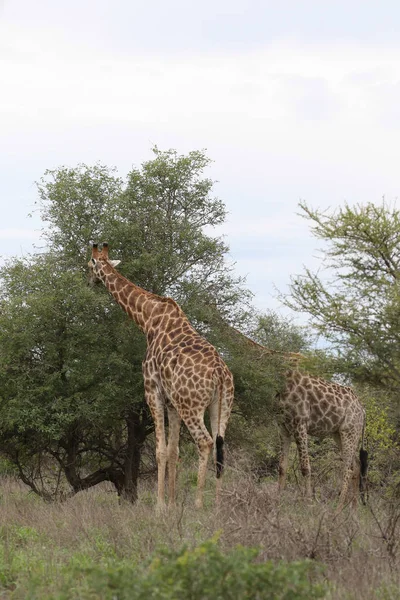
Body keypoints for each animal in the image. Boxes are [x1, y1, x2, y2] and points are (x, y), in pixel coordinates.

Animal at [86, 241, 233, 508]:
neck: (146, 319)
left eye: (89, 266)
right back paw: (217, 506)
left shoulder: (152, 390)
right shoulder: (172, 401)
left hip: (192, 406)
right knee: (220, 445)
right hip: (221, 405)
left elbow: (160, 450)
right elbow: (174, 450)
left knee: (205, 442)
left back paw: (198, 505)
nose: (89, 282)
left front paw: (160, 506)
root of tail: (220, 374)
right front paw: (173, 504)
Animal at [231, 328, 368, 510]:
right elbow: (282, 466)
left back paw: (338, 507)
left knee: (348, 467)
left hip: (350, 431)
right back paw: (353, 508)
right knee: (356, 465)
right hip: (339, 433)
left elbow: (305, 466)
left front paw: (308, 503)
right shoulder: (283, 426)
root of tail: (363, 410)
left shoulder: (300, 424)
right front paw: (278, 500)